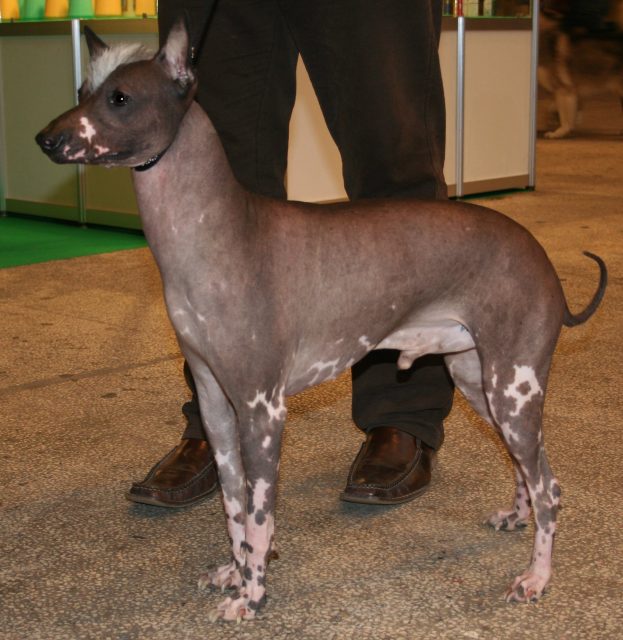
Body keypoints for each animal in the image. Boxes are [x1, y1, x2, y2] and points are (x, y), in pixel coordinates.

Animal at [36, 18, 608, 620]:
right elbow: (233, 507)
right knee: (524, 468)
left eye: (120, 98)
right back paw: (517, 518)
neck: (216, 234)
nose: (45, 139)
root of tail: (540, 255)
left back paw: (536, 577)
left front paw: (253, 593)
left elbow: (259, 516)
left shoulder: (263, 409)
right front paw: (235, 571)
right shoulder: (216, 408)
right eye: (83, 91)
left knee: (549, 486)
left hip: (513, 387)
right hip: (481, 382)